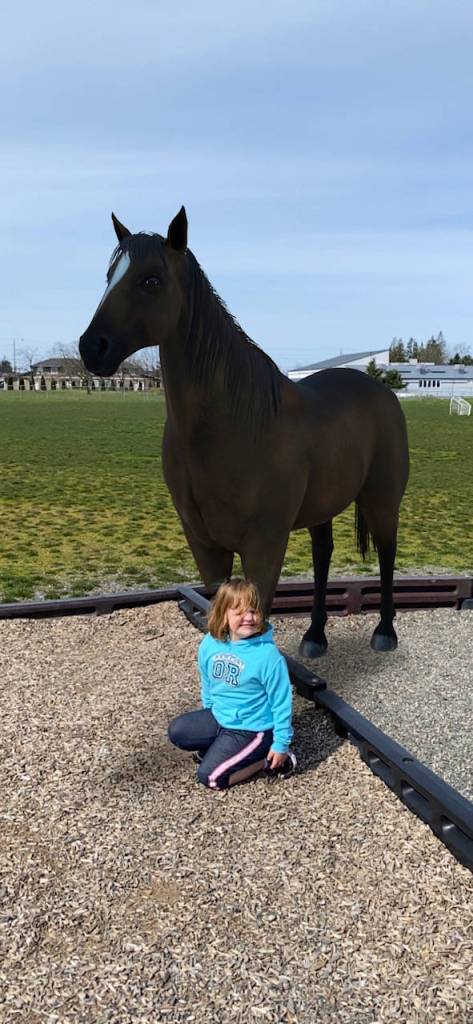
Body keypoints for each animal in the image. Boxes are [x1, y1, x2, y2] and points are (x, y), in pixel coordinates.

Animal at [79, 207, 409, 657]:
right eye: (109, 275)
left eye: (152, 280)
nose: (91, 347)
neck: (230, 425)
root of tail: (382, 391)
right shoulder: (204, 543)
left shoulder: (264, 542)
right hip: (322, 506)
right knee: (323, 555)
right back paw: (314, 636)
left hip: (382, 500)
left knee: (387, 552)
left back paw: (385, 632)